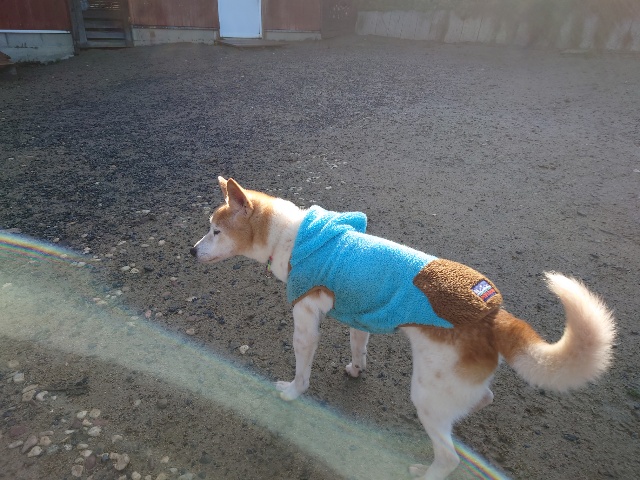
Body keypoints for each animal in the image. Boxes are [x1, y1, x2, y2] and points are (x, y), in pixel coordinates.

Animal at [190, 177, 615, 480]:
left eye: (215, 231)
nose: (191, 251)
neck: (291, 238)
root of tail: (492, 315)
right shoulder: (357, 318)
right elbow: (358, 347)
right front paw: (356, 368)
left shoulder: (306, 323)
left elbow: (301, 372)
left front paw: (292, 392)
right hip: (447, 388)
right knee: (481, 399)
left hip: (425, 393)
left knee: (448, 457)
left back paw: (427, 472)